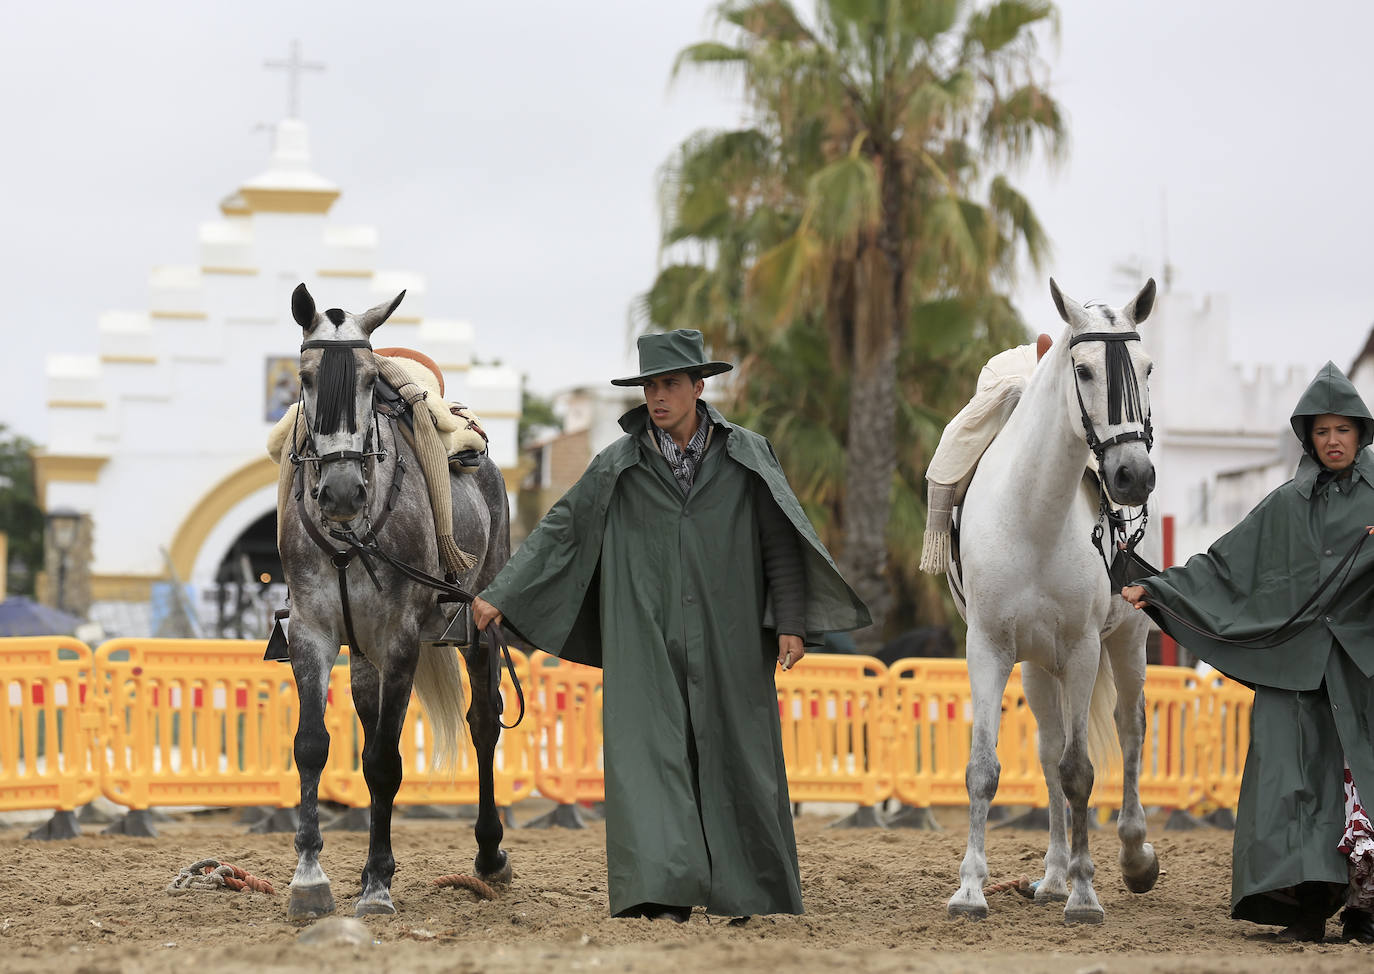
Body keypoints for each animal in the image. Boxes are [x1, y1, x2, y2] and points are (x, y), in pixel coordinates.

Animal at [950, 277, 1165, 923]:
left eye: (1148, 369)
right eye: (1085, 369)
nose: (1133, 476)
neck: (1033, 518)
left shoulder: (1082, 650)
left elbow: (1080, 773)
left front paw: (1085, 892)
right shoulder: (989, 649)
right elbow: (986, 768)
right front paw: (970, 888)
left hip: (1126, 642)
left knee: (1129, 728)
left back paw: (1130, 856)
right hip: (1038, 667)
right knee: (1047, 750)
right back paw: (1049, 875)